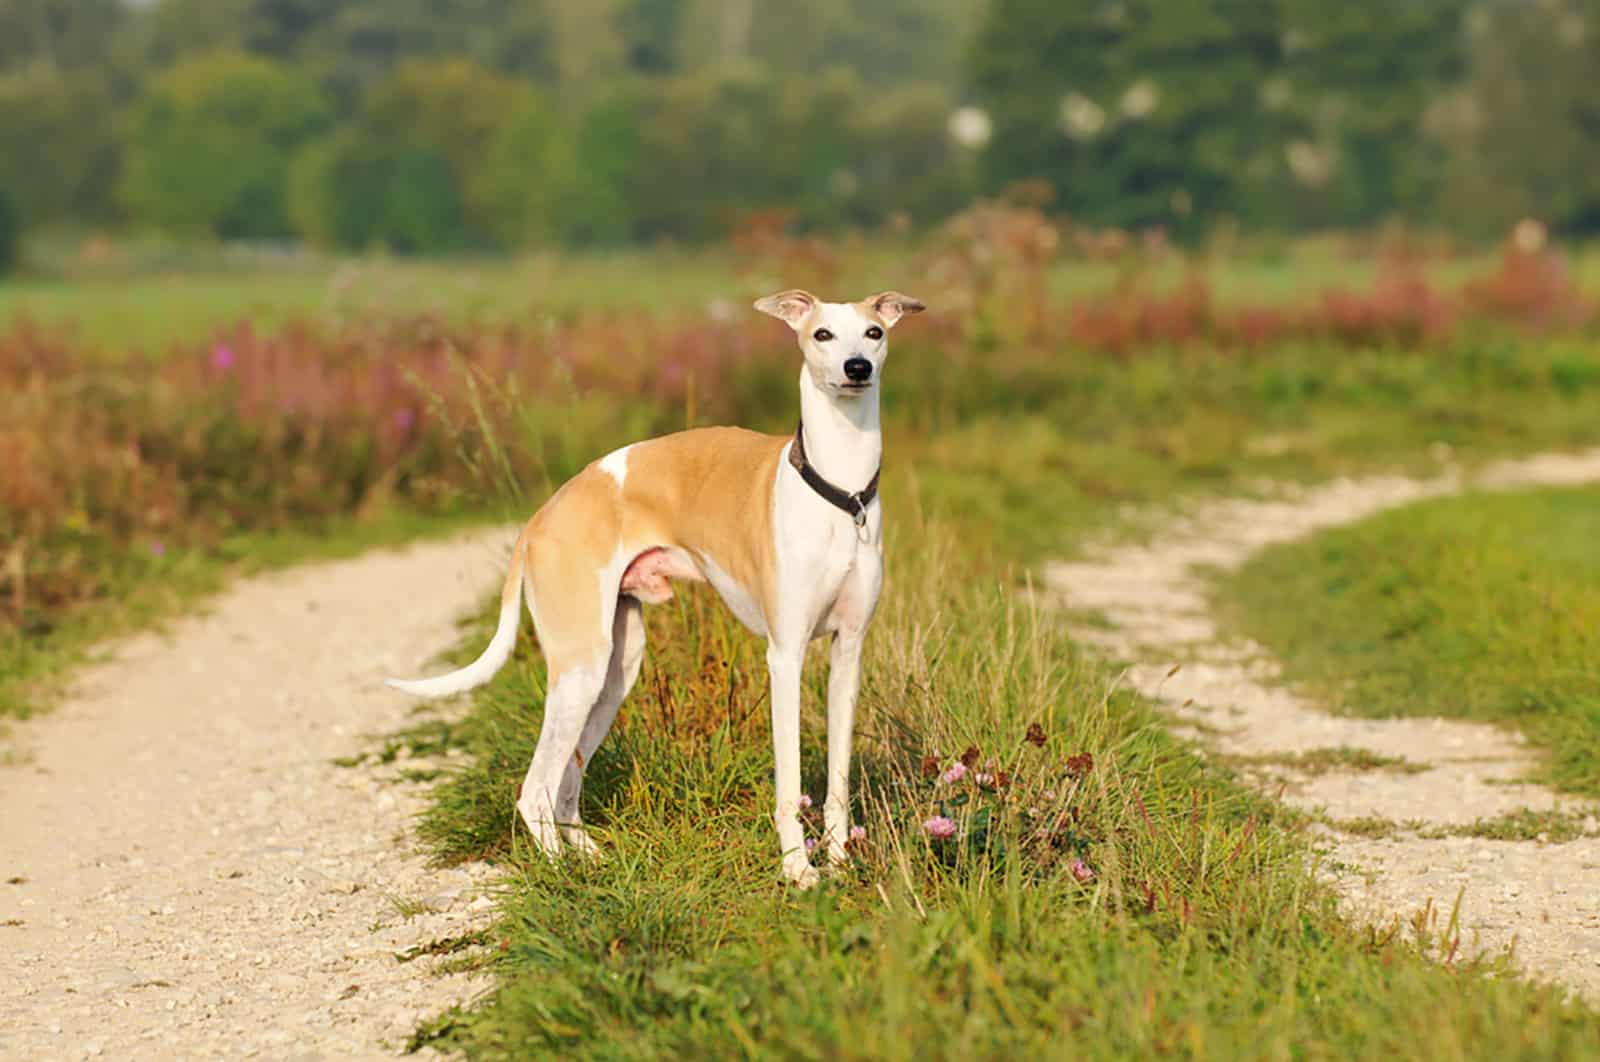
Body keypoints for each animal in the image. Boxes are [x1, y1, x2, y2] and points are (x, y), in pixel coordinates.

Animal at [388, 291, 934, 889]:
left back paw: (593, 858)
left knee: (565, 786)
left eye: (875, 332)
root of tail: (539, 519)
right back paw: (567, 875)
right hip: (581, 667)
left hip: (615, 669)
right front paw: (799, 870)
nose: (856, 369)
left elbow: (838, 778)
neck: (840, 491)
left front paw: (839, 863)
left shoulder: (848, 651)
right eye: (822, 335)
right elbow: (790, 784)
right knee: (535, 790)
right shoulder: (785, 655)